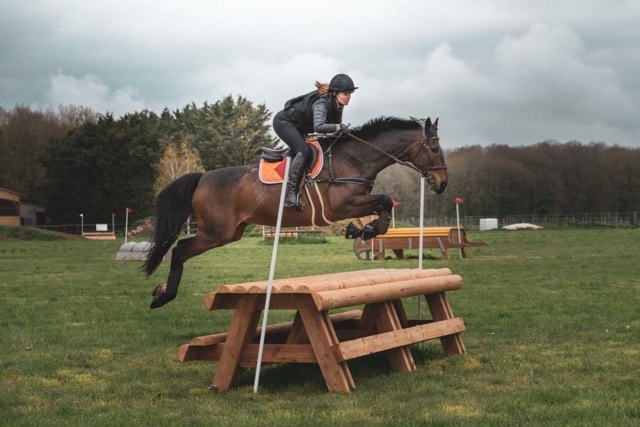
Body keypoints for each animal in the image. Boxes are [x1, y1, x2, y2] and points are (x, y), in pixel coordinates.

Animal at [143, 116, 447, 308]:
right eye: (434, 148)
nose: (443, 184)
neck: (355, 158)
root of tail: (202, 178)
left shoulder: (357, 201)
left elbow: (384, 204)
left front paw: (365, 230)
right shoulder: (342, 206)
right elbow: (384, 199)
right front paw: (365, 229)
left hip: (228, 233)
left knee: (181, 247)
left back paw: (161, 292)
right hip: (216, 233)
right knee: (179, 250)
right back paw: (162, 297)